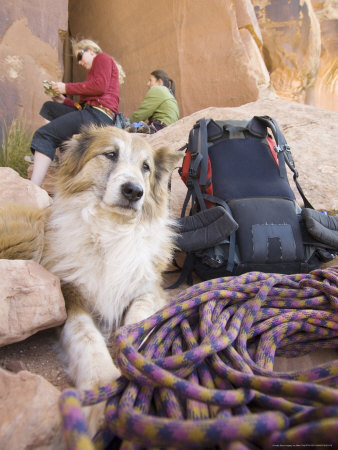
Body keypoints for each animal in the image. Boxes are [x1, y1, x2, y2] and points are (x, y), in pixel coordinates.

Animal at [0, 126, 182, 432]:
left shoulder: (149, 287)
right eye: (110, 154)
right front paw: (101, 387)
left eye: (146, 167)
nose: (134, 191)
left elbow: (140, 319)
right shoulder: (67, 293)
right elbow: (85, 335)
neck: (111, 229)